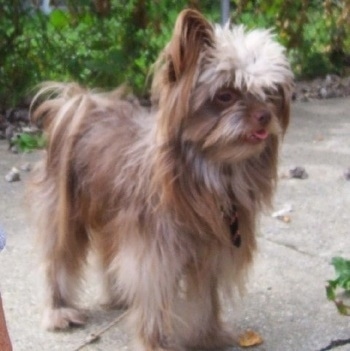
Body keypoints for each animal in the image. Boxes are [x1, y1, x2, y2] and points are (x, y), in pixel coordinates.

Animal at [29, 8, 292, 351]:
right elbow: (153, 302)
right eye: (225, 95)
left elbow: (205, 301)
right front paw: (155, 343)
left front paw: (208, 336)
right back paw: (58, 310)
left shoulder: (208, 251)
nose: (264, 116)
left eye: (269, 94)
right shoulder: (153, 255)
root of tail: (86, 106)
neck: (208, 173)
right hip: (65, 212)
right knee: (58, 260)